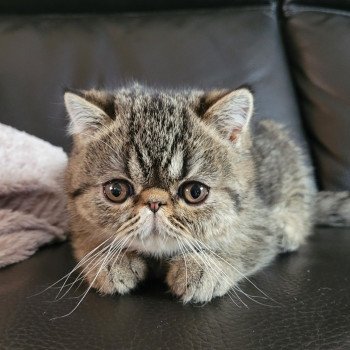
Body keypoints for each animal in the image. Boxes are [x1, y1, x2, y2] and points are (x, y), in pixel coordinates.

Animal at [63, 83, 350, 302]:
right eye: (116, 190)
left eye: (195, 192)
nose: (154, 203)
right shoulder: (76, 221)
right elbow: (87, 239)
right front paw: (107, 260)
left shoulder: (258, 220)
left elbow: (243, 244)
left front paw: (207, 266)